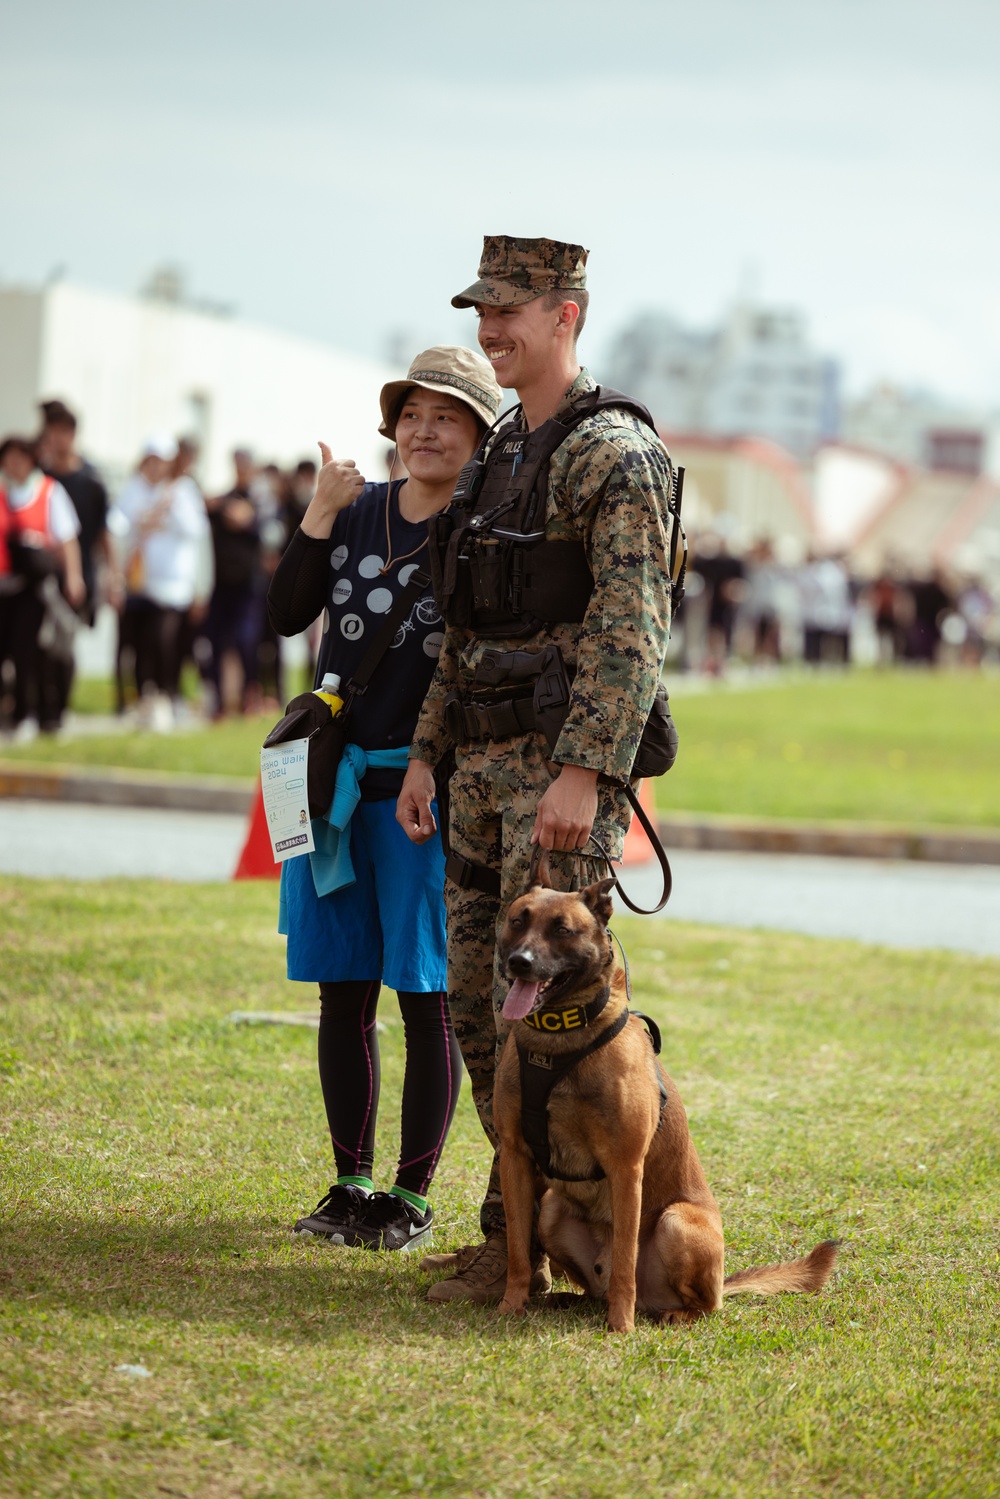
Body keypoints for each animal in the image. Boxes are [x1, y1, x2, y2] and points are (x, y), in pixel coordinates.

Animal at [494, 869, 839, 1337]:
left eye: (562, 930)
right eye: (518, 921)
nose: (520, 963)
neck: (558, 1041)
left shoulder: (625, 1168)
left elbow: (625, 1261)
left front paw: (620, 1328)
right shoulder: (514, 1156)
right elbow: (517, 1249)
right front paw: (510, 1306)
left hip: (677, 1222)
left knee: (701, 1304)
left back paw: (669, 1313)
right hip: (550, 1208)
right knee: (594, 1288)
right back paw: (570, 1299)